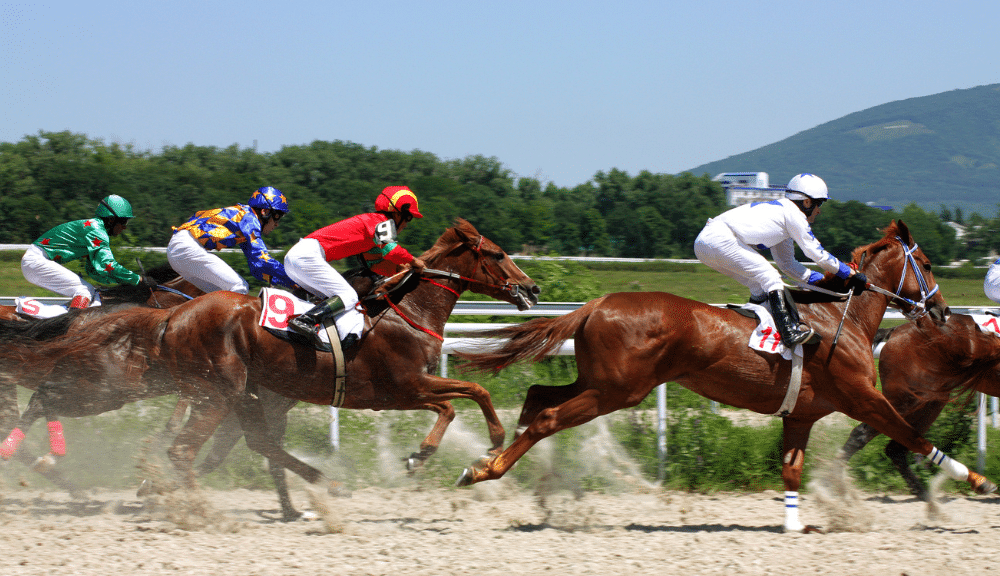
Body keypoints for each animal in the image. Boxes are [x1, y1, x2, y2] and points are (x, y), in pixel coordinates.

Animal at [0, 218, 540, 506]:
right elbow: (465, 397)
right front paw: (450, 450)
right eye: (497, 254)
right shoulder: (400, 387)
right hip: (156, 388)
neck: (404, 313)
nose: (532, 289)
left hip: (210, 390)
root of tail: (172, 314)